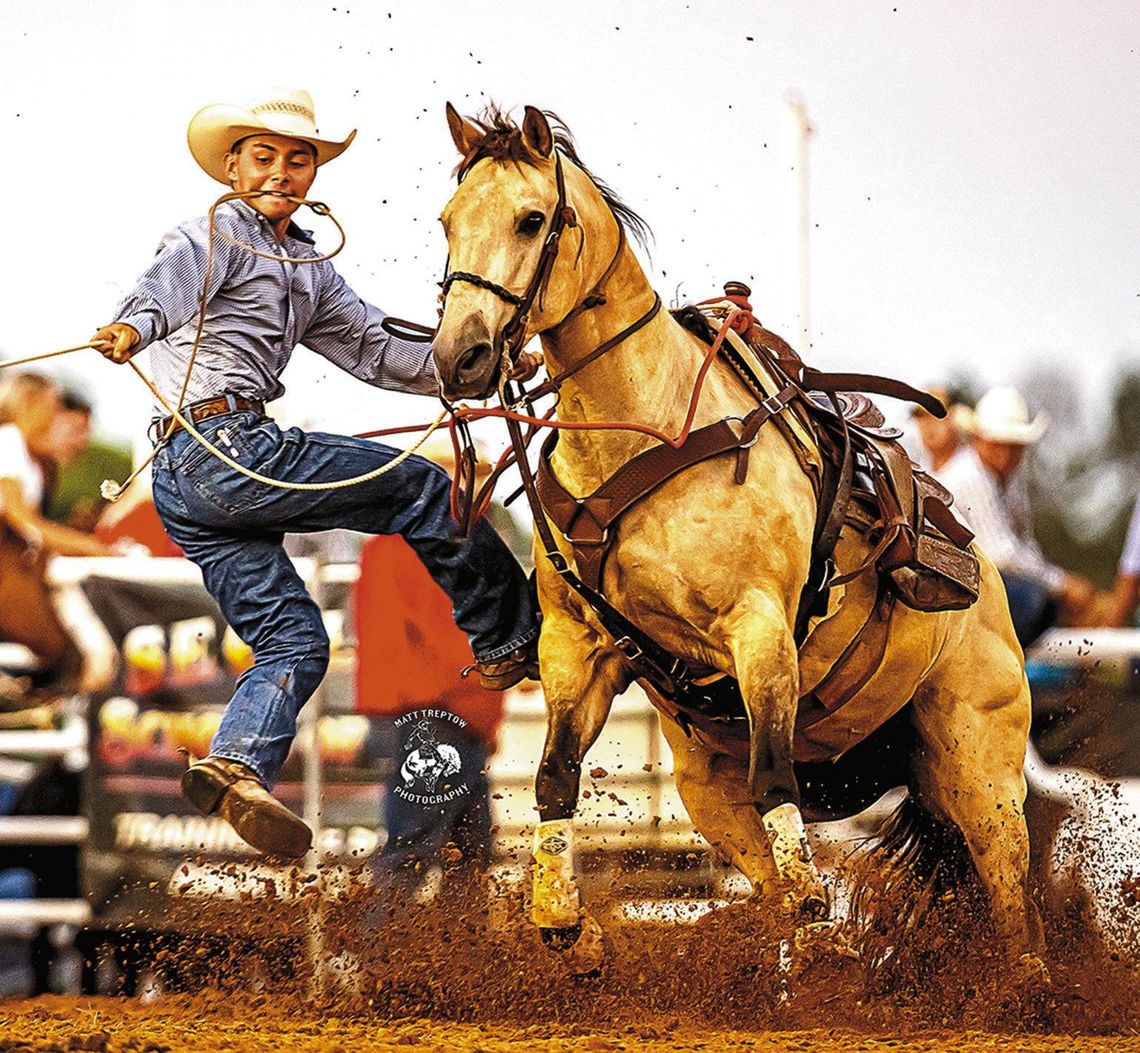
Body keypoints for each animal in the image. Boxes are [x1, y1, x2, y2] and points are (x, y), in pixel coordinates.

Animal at [428, 102, 1048, 989]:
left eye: (532, 218)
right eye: (448, 221)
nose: (460, 356)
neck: (640, 431)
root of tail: (985, 583)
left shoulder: (759, 631)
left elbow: (776, 770)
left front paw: (823, 933)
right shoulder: (576, 648)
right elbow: (553, 775)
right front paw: (567, 925)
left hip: (982, 762)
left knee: (1011, 903)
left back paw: (1020, 992)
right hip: (712, 791)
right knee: (772, 876)